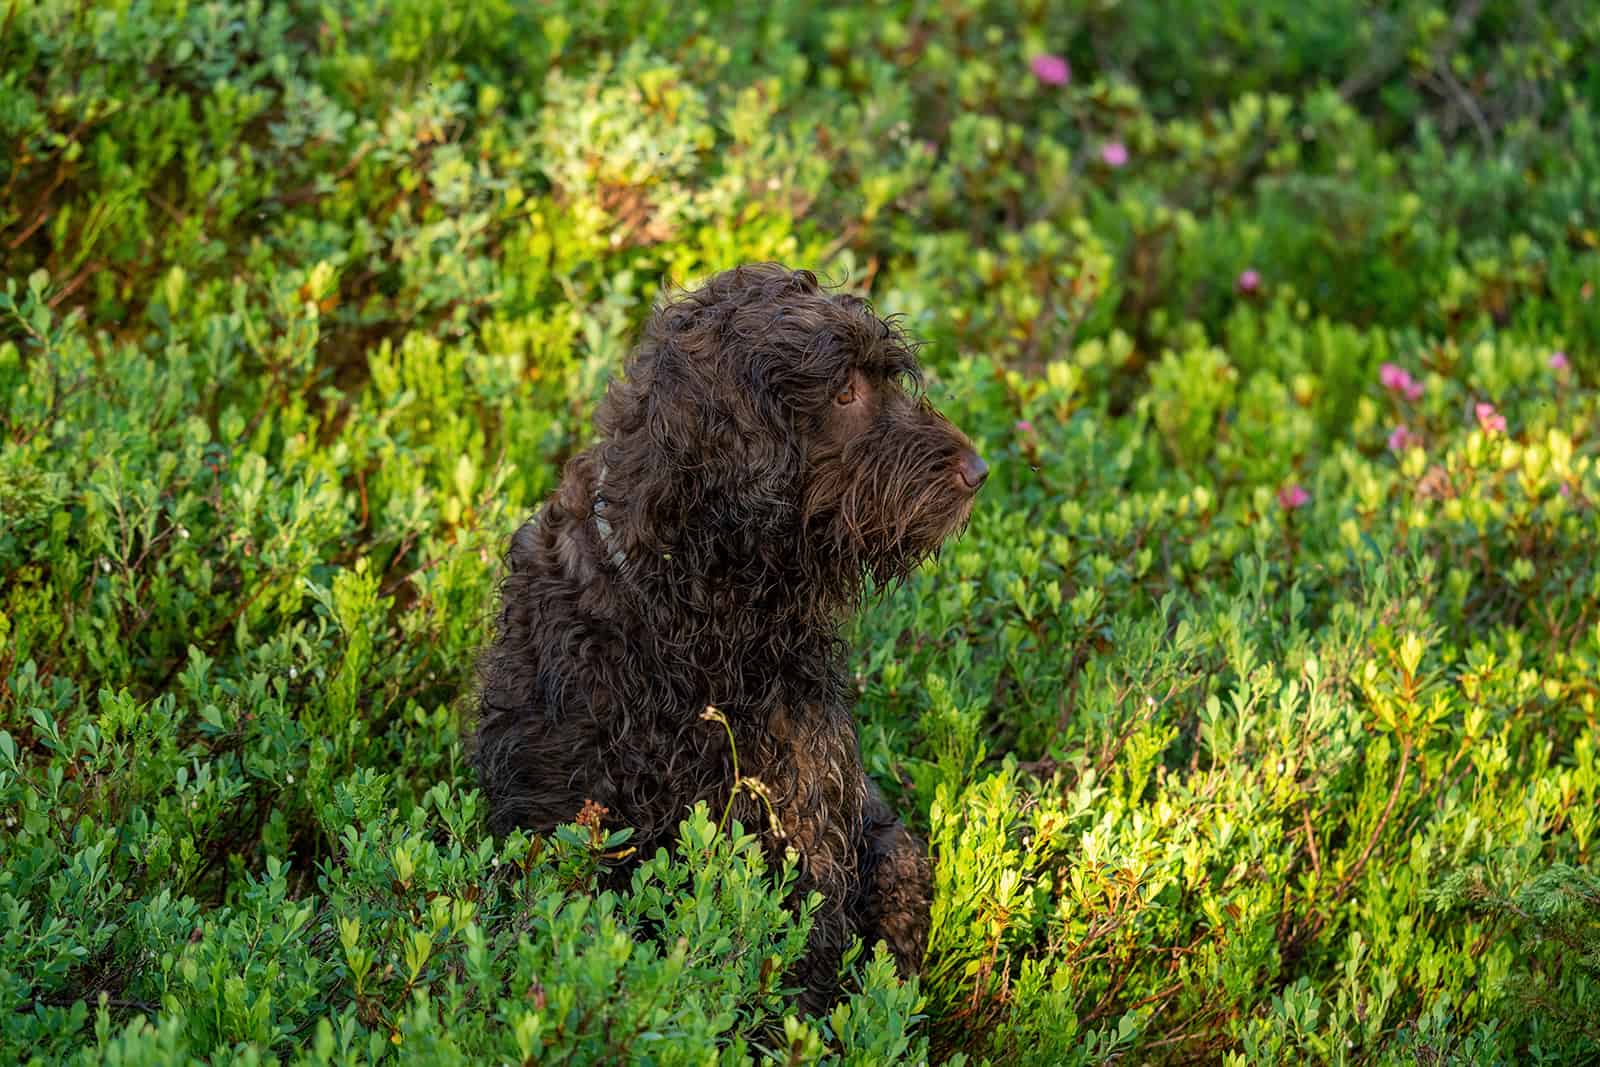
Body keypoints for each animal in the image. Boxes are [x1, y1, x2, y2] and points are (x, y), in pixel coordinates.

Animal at [467, 262, 979, 1017]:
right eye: (844, 390)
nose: (980, 472)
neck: (697, 617)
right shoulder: (559, 816)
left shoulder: (802, 831)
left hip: (896, 860)